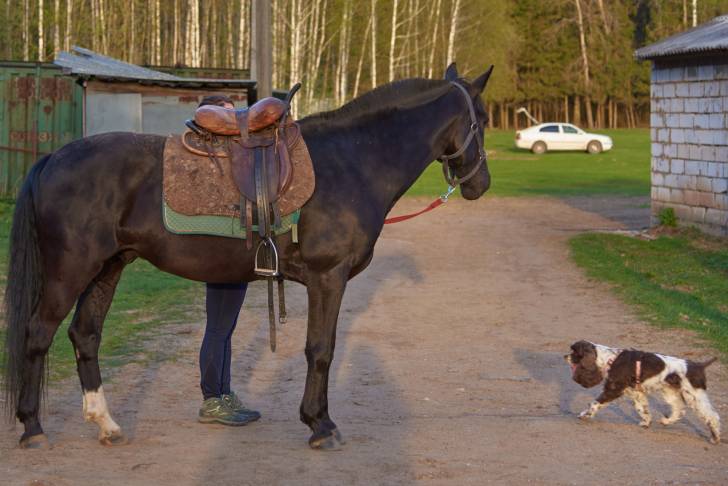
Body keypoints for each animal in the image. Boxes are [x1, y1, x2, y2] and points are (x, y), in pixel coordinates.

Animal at [2, 63, 493, 450]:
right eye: (483, 119)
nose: (480, 184)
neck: (353, 161)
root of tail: (52, 159)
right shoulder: (327, 278)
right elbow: (321, 349)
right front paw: (320, 425)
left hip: (109, 267)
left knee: (85, 335)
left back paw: (105, 424)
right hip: (70, 271)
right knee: (38, 334)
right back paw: (32, 428)